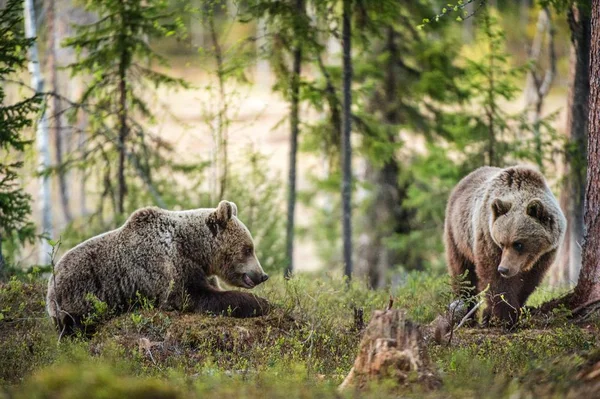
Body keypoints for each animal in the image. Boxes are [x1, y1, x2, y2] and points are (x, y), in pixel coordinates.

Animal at [45, 199, 270, 334]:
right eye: (248, 248)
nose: (262, 275)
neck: (193, 249)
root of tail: (51, 281)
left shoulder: (197, 268)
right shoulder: (166, 266)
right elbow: (193, 295)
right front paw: (261, 302)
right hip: (78, 297)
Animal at [446, 167, 568, 326]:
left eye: (518, 244)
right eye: (502, 243)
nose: (503, 269)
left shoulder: (546, 254)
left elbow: (529, 282)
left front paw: (518, 308)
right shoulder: (487, 235)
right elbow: (494, 278)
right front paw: (504, 315)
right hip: (457, 234)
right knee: (462, 272)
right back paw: (465, 312)